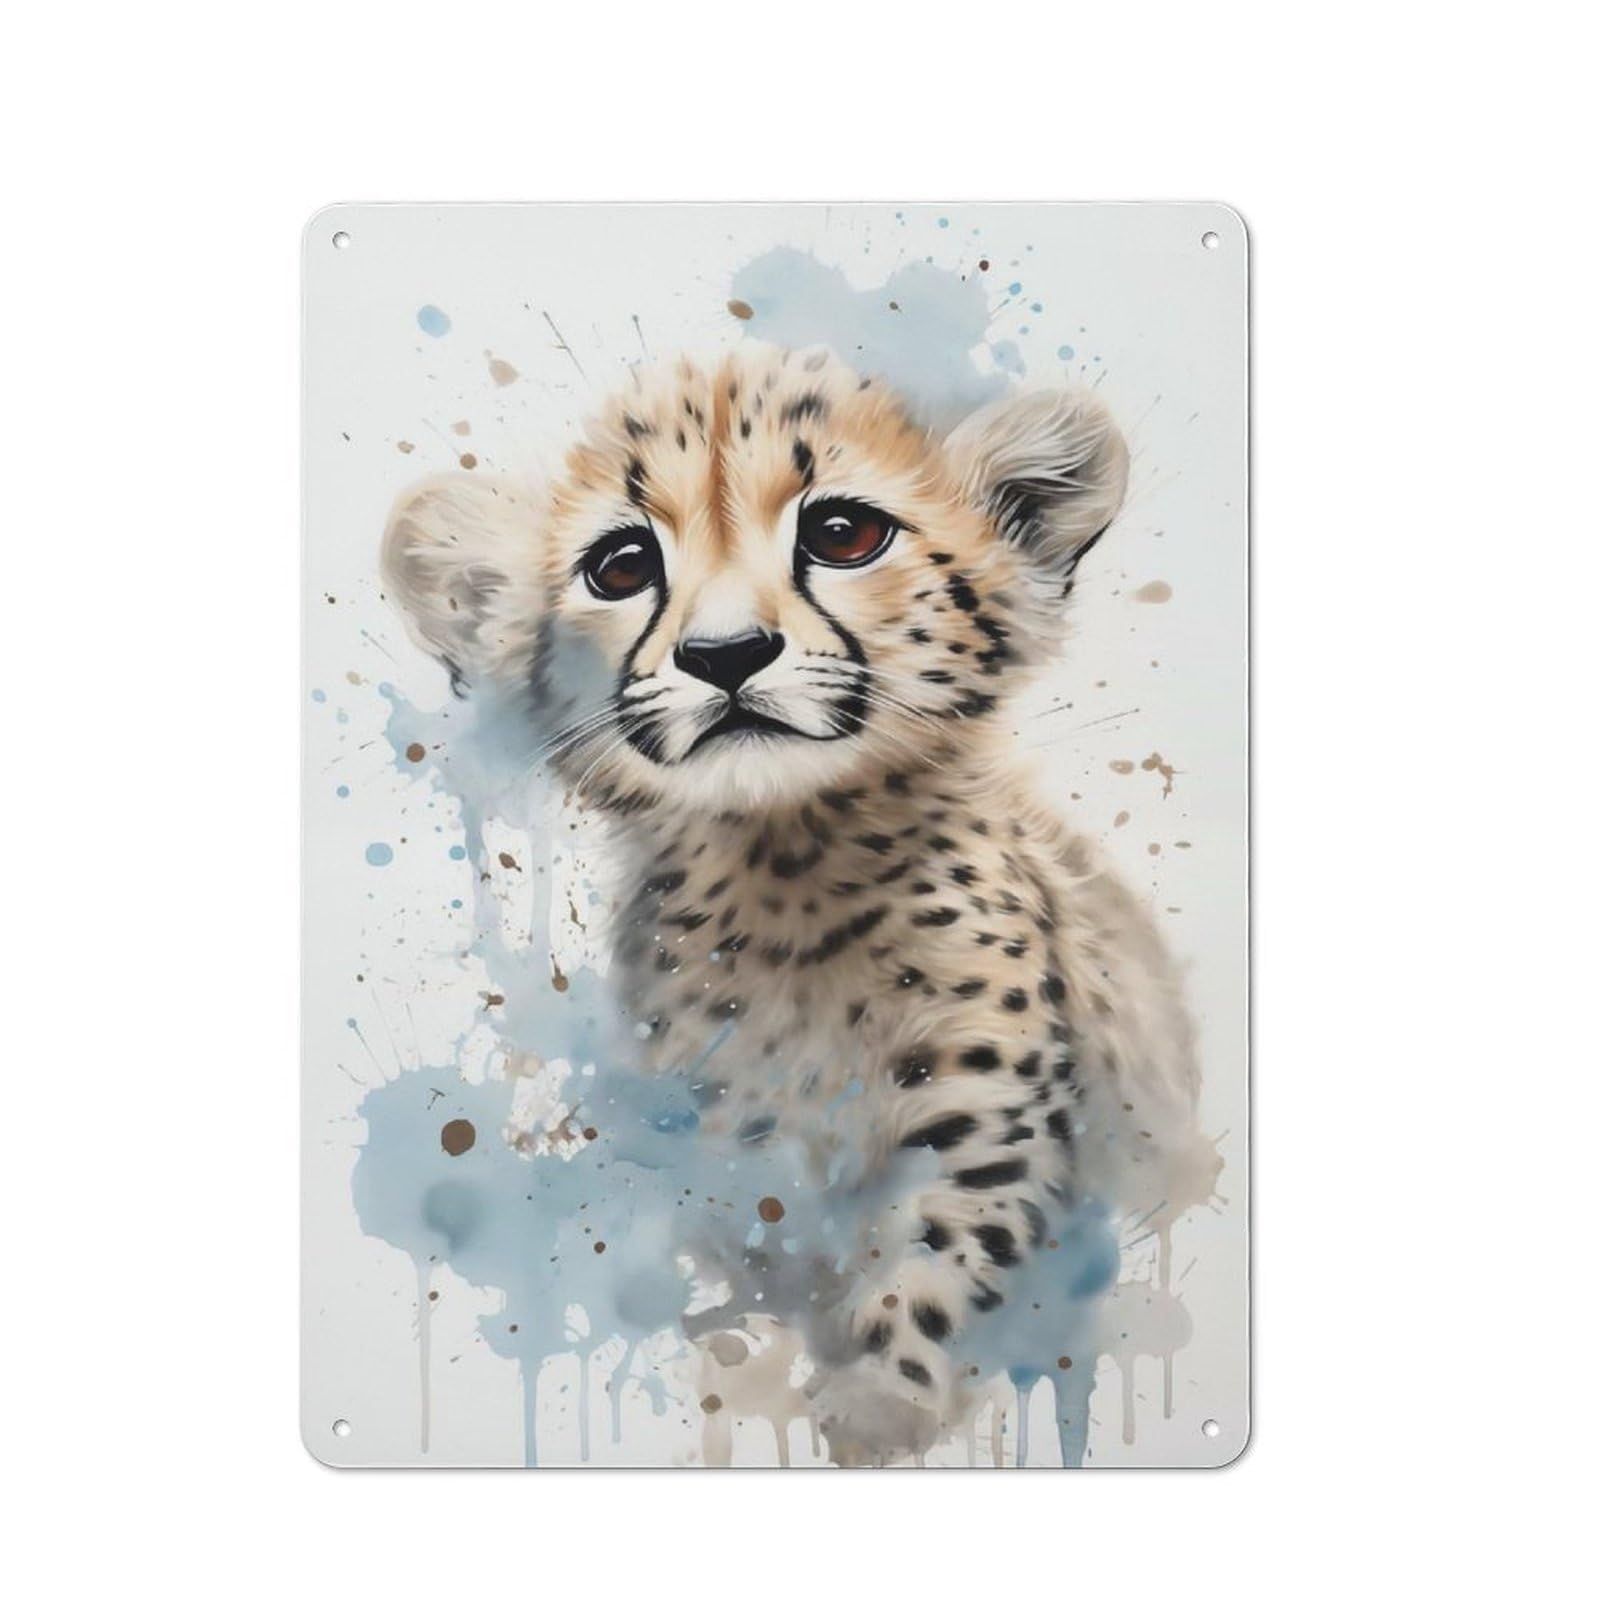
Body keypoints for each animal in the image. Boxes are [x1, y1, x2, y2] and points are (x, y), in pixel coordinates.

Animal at [381, 341, 1201, 1464]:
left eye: (843, 533)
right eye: (621, 566)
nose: (724, 655)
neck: (789, 869)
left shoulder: (985, 1120)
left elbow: (938, 1253)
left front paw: (880, 1401)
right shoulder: (708, 1146)